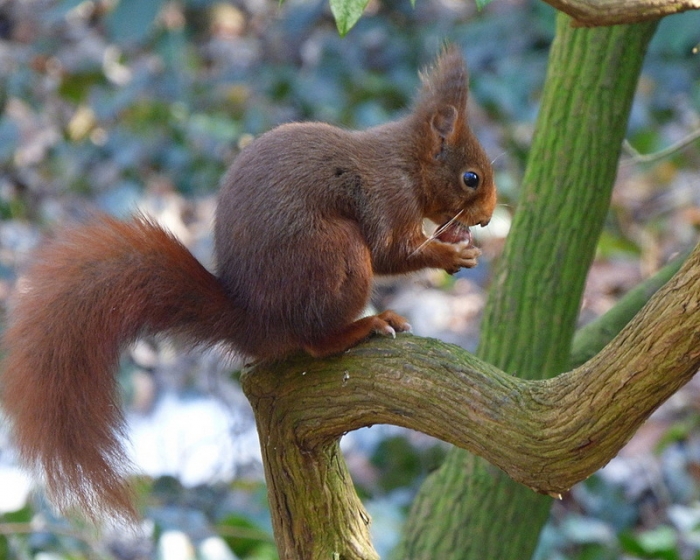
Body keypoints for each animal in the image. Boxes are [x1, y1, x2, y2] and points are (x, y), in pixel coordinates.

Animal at [0, 45, 496, 521]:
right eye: (470, 177)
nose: (489, 218)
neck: (407, 161)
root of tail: (257, 322)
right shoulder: (387, 198)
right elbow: (392, 251)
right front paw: (451, 253)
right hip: (334, 256)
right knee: (315, 340)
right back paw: (364, 326)